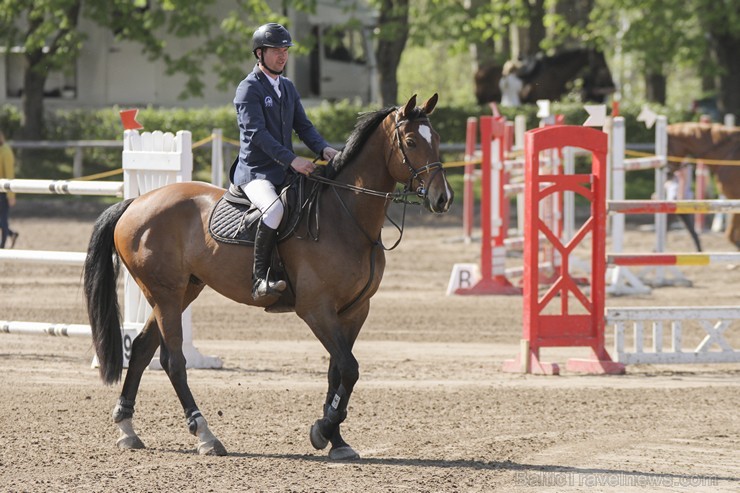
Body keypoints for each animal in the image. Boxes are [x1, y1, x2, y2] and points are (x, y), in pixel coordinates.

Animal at [81, 95, 450, 458]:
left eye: (438, 140)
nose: (443, 198)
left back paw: (127, 428)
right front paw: (323, 430)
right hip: (164, 293)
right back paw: (205, 435)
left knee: (142, 348)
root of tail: (135, 202)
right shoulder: (316, 309)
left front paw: (336, 439)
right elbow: (349, 368)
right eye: (412, 142)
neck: (346, 217)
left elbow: (338, 372)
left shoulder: (354, 311)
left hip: (183, 291)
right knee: (173, 360)